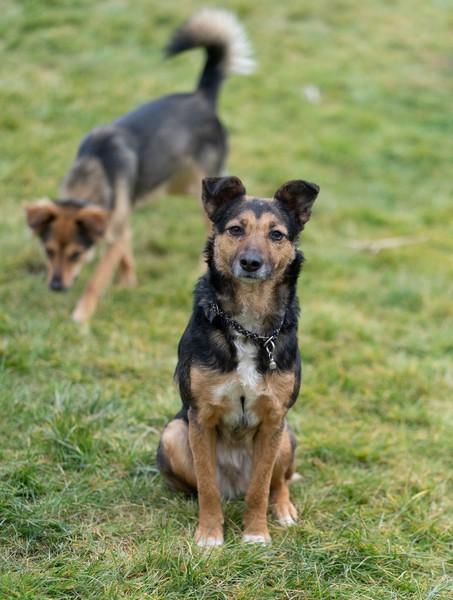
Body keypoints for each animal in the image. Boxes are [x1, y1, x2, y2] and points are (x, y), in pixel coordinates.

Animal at [25, 10, 254, 322]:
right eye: (48, 251)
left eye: (75, 254)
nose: (56, 287)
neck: (96, 172)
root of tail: (202, 97)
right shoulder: (119, 225)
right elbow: (126, 248)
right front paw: (128, 281)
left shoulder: (112, 236)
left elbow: (97, 279)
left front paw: (82, 315)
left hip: (200, 187)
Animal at [157, 175, 319, 546]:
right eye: (235, 230)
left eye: (277, 234)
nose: (250, 263)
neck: (248, 327)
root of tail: (235, 484)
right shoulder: (200, 417)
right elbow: (207, 487)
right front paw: (209, 535)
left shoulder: (273, 420)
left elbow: (260, 488)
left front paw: (256, 535)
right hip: (172, 434)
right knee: (212, 488)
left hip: (286, 437)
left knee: (278, 482)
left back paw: (283, 510)